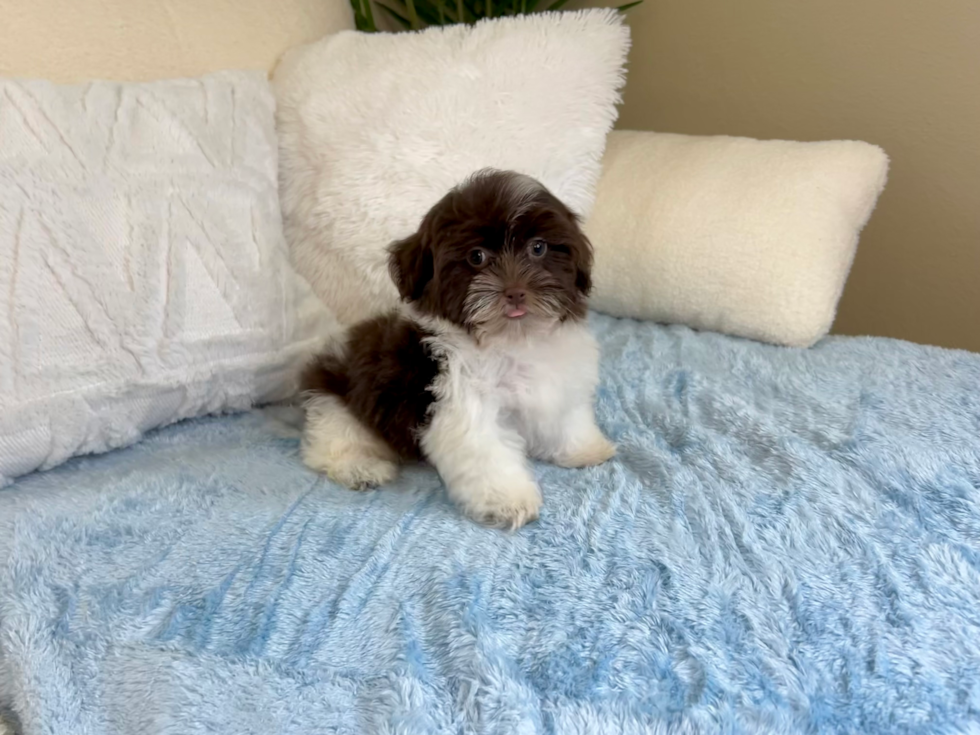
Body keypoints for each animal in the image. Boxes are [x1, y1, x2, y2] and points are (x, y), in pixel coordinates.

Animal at [302, 171, 616, 528]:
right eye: (476, 257)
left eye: (538, 248)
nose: (515, 292)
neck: (512, 341)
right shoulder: (462, 405)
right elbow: (487, 454)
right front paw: (509, 500)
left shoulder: (559, 384)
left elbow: (567, 420)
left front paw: (586, 449)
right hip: (337, 403)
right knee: (333, 439)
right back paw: (360, 466)